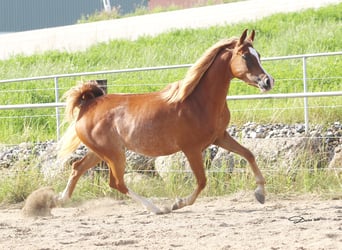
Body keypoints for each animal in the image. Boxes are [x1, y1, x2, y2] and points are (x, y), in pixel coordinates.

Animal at [57, 28, 274, 213]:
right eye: (245, 56)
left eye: (258, 55)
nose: (268, 81)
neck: (198, 102)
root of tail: (87, 105)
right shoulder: (192, 149)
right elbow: (202, 181)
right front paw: (178, 203)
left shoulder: (219, 137)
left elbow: (249, 154)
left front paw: (260, 194)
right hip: (113, 154)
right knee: (117, 182)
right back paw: (156, 208)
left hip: (101, 152)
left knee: (78, 168)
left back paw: (60, 200)